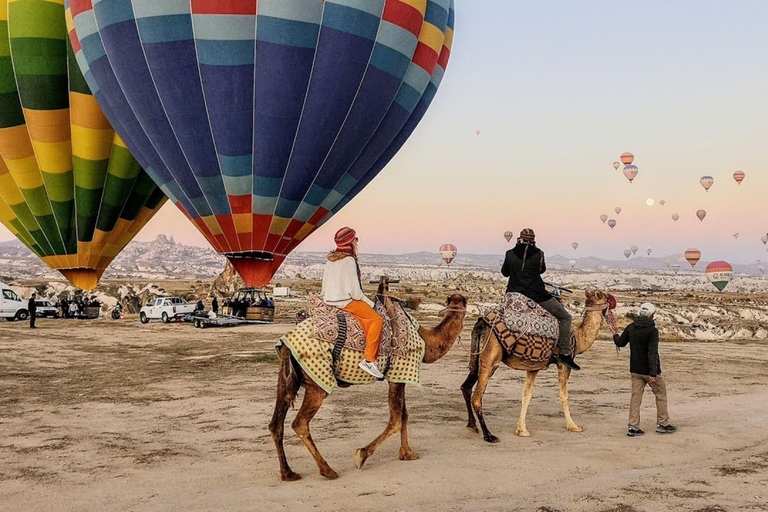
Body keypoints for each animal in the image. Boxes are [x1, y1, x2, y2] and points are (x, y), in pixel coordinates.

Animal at [270, 276, 468, 480]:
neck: (426, 340)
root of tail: (286, 342)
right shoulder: (399, 373)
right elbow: (396, 420)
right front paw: (361, 455)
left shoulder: (400, 376)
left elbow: (404, 415)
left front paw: (407, 453)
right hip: (317, 379)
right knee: (300, 423)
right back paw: (327, 470)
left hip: (288, 378)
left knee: (276, 423)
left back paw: (288, 472)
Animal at [460, 290, 616, 442]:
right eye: (605, 296)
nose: (613, 301)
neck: (577, 337)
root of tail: (481, 323)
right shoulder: (563, 364)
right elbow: (564, 396)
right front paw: (573, 426)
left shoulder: (533, 366)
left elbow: (527, 395)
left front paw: (522, 430)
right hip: (491, 358)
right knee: (477, 397)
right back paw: (488, 435)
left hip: (477, 357)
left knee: (466, 387)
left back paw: (472, 425)